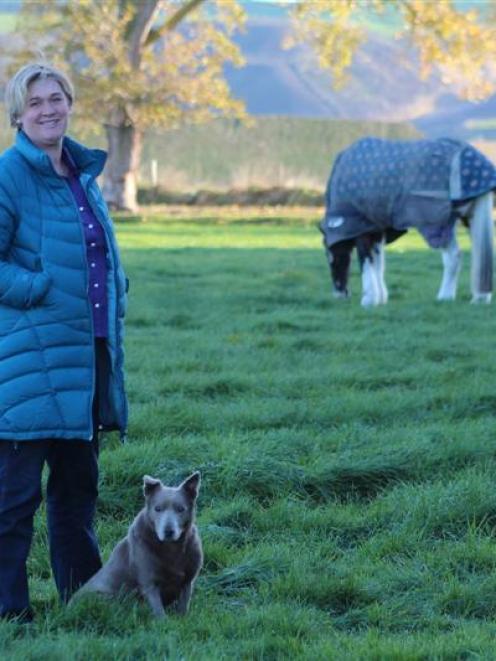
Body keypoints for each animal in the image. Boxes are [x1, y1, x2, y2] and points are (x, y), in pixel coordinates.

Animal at [73, 470, 202, 612]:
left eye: (180, 509)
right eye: (157, 509)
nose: (168, 531)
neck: (171, 548)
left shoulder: (187, 582)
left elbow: (183, 609)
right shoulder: (150, 584)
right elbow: (159, 613)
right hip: (104, 598)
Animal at [320, 139, 494, 306]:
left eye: (329, 255)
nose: (340, 294)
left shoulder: (362, 228)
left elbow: (366, 261)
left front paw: (369, 299)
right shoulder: (377, 230)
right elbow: (378, 262)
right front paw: (381, 298)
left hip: (437, 221)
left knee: (453, 256)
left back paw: (445, 297)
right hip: (470, 217)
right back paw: (480, 298)